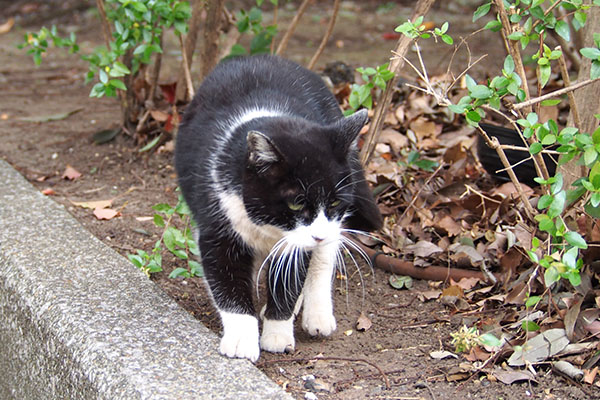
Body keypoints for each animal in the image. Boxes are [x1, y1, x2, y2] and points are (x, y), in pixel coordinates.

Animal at [175, 54, 380, 362]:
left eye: (334, 201)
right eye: (295, 203)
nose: (318, 234)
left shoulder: (305, 238)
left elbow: (291, 279)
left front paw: (277, 334)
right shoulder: (216, 223)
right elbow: (226, 278)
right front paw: (241, 340)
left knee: (324, 256)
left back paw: (317, 315)